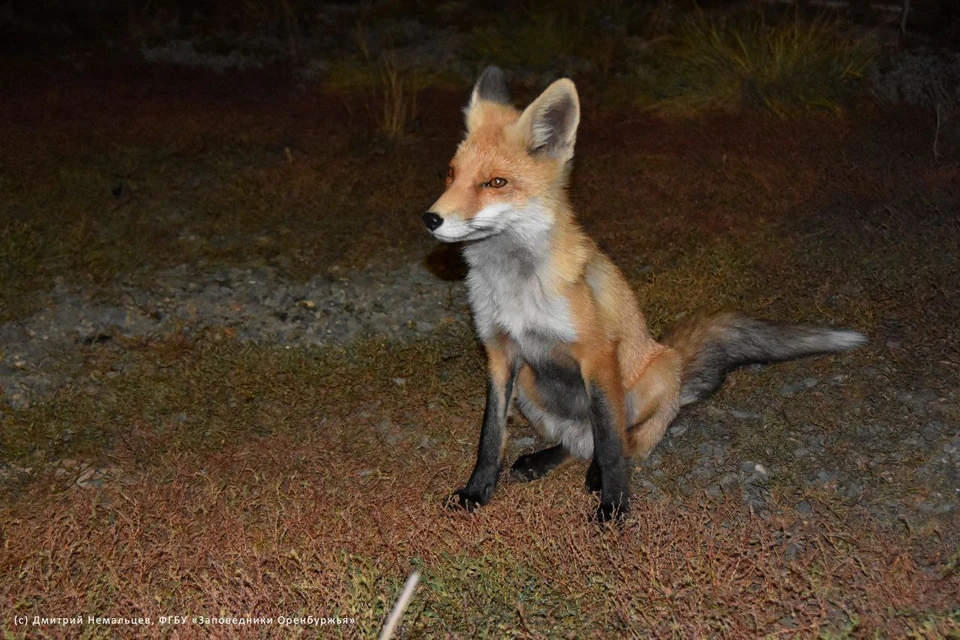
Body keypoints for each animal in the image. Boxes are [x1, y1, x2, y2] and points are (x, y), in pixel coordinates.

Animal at [424, 67, 868, 524]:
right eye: (451, 173)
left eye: (495, 182)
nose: (431, 218)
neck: (515, 286)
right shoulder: (500, 354)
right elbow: (491, 436)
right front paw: (477, 491)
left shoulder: (597, 355)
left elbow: (612, 445)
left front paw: (614, 506)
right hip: (531, 384)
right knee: (576, 442)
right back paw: (543, 459)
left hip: (652, 377)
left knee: (620, 440)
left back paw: (596, 473)